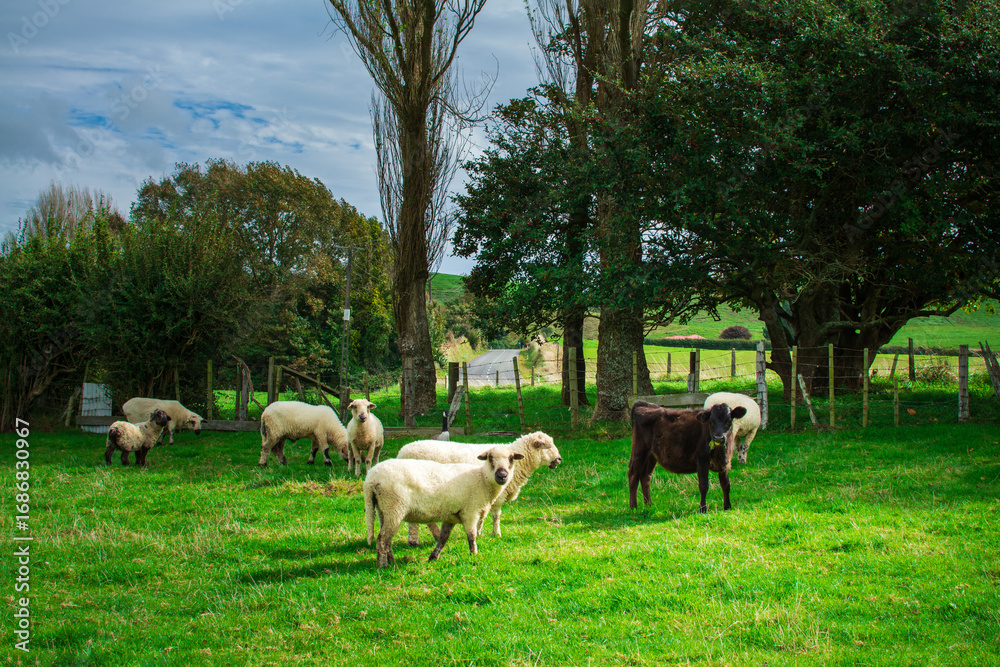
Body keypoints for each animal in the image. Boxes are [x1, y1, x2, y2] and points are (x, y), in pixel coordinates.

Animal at [364, 445, 525, 568]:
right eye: (490, 458)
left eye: (511, 459)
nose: (502, 475)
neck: (482, 479)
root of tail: (371, 479)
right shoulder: (470, 511)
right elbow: (471, 535)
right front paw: (473, 555)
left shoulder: (451, 516)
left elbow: (443, 538)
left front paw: (433, 557)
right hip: (394, 508)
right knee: (382, 539)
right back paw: (382, 565)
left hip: (383, 510)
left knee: (387, 539)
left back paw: (391, 561)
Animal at [397, 431, 561, 543]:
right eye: (547, 446)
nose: (559, 459)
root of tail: (401, 452)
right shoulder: (497, 496)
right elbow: (496, 516)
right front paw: (496, 533)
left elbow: (483, 515)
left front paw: (479, 531)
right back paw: (414, 540)